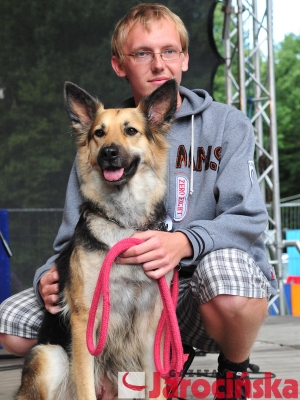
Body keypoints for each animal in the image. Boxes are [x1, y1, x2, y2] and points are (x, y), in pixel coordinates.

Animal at [16, 79, 179, 400]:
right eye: (98, 133)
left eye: (131, 130)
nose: (109, 153)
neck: (124, 223)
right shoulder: (84, 323)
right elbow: (85, 385)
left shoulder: (151, 326)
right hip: (51, 355)